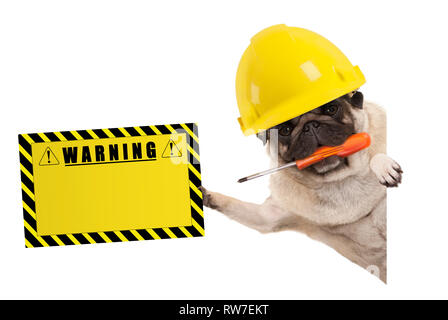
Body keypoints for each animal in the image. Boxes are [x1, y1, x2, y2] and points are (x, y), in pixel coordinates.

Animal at [203, 90, 402, 282]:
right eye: (285, 130)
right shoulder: (270, 217)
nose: (310, 125)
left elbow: (376, 156)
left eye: (331, 109)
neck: (338, 180)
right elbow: (237, 206)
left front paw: (384, 167)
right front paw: (206, 195)